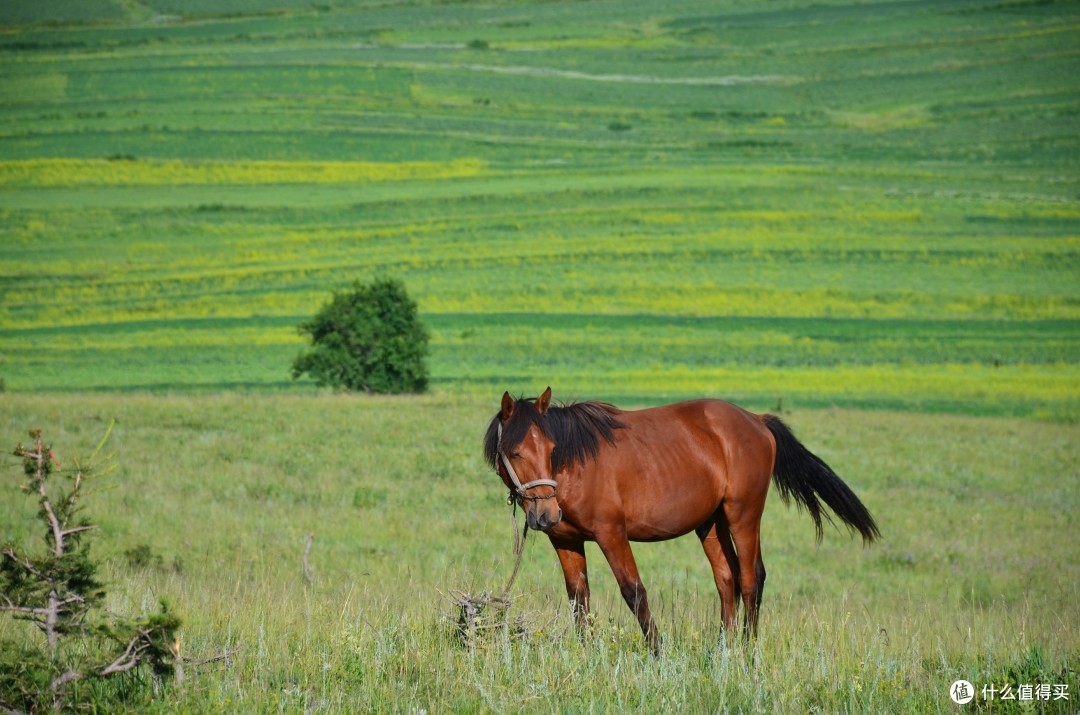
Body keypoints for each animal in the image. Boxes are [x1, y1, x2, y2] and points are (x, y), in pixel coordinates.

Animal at [486, 388, 881, 652]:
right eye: (515, 452)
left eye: (552, 449)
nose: (546, 514)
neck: (574, 467)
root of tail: (757, 421)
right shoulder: (565, 541)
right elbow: (578, 599)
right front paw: (586, 653)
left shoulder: (612, 534)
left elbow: (634, 592)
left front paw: (657, 653)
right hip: (710, 524)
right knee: (727, 579)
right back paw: (724, 649)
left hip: (743, 515)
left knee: (751, 578)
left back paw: (748, 651)